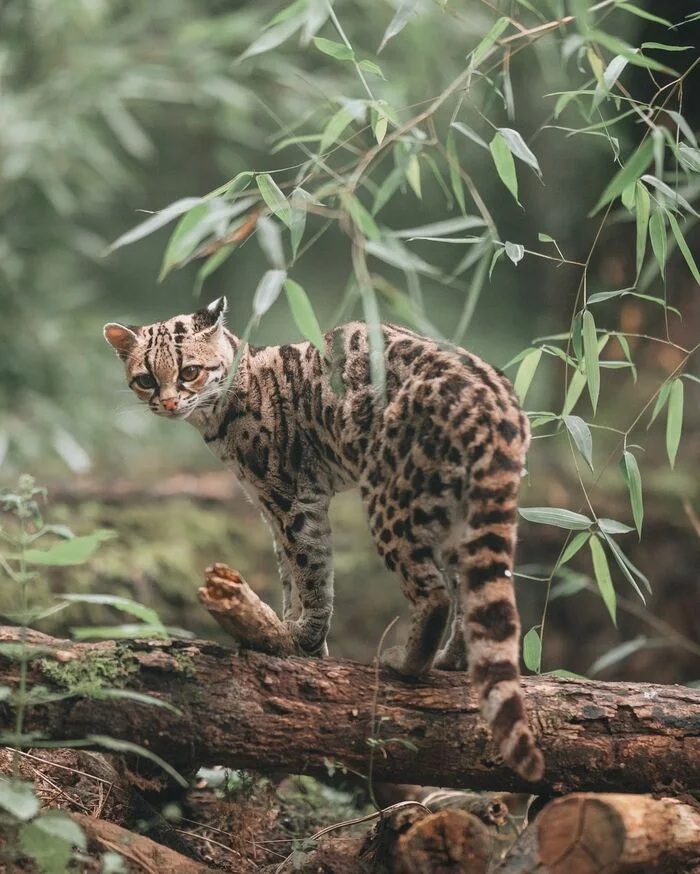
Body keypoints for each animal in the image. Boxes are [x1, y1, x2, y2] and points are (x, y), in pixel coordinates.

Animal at [104, 296, 544, 780]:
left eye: (189, 371)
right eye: (146, 378)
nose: (166, 402)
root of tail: (493, 400)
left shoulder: (294, 498)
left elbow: (312, 571)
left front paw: (306, 642)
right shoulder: (270, 510)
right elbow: (288, 575)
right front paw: (282, 630)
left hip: (389, 496)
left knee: (435, 595)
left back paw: (406, 662)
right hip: (455, 511)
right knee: (469, 595)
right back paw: (452, 662)